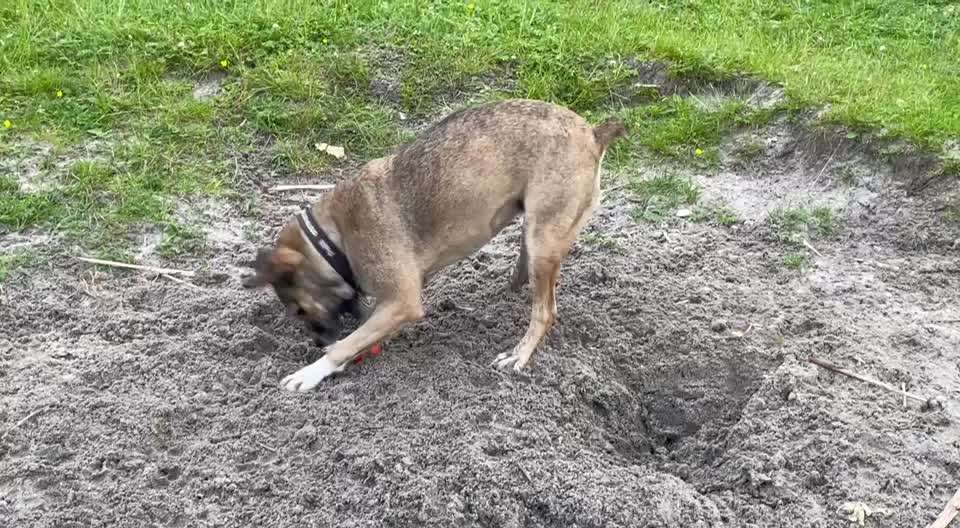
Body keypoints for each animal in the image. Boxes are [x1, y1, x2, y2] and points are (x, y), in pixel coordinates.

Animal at [244, 99, 628, 390]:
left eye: (298, 310)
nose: (317, 343)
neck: (333, 236)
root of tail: (593, 133)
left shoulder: (402, 302)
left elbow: (350, 342)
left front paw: (312, 370)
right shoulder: (387, 306)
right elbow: (361, 337)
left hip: (544, 239)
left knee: (545, 311)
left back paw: (519, 354)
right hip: (535, 228)